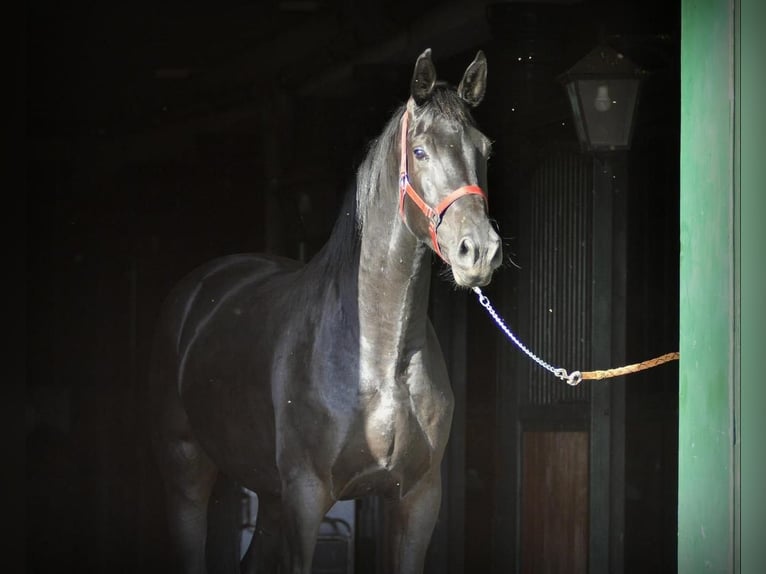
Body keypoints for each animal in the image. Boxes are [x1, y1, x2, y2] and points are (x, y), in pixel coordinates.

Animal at [152, 50, 504, 574]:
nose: (478, 251)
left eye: (484, 149)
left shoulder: (417, 499)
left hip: (269, 494)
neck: (379, 354)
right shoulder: (306, 495)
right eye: (420, 152)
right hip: (187, 472)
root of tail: (197, 290)